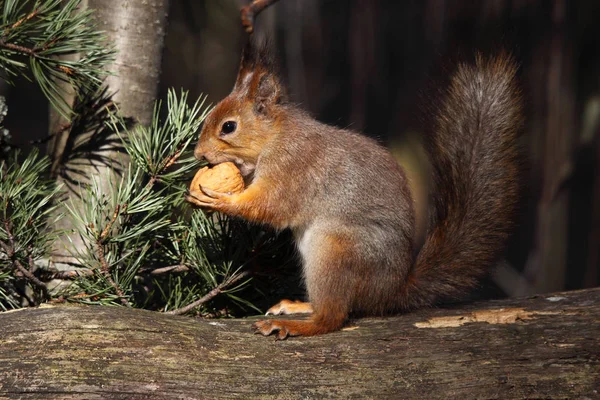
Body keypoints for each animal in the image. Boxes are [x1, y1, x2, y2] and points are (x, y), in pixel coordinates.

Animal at [186, 42, 520, 340]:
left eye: (229, 127)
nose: (199, 155)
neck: (276, 137)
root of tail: (390, 292)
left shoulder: (292, 168)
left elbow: (271, 206)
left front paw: (220, 200)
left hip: (336, 250)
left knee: (332, 317)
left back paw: (295, 325)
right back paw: (298, 306)